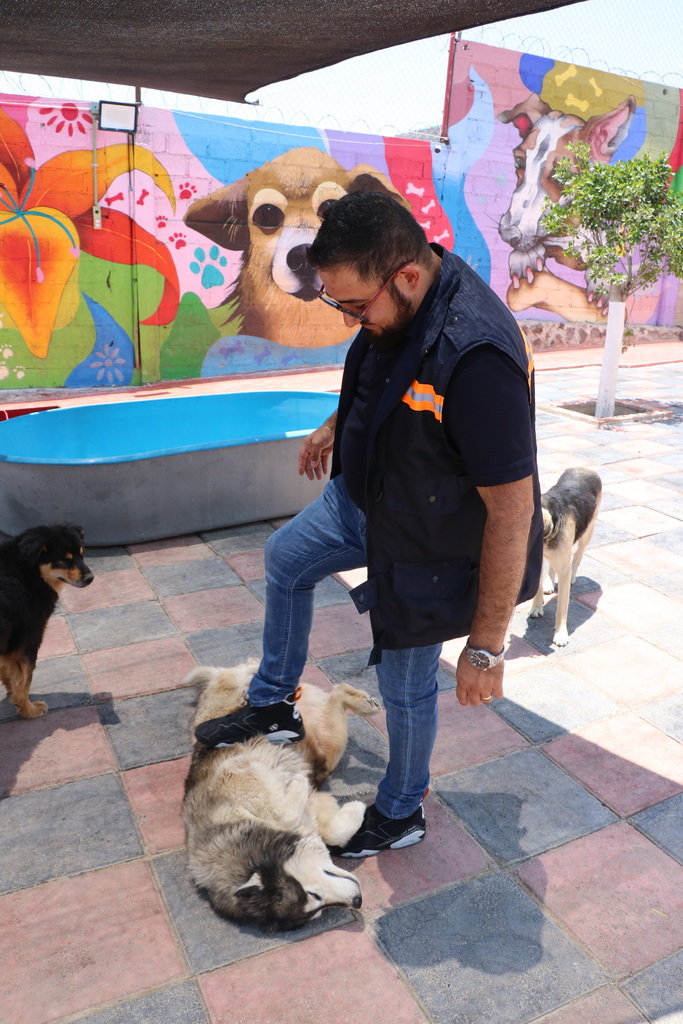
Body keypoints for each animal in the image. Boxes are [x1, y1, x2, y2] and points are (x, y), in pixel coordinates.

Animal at [0, 524, 94, 718]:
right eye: (64, 561)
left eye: (82, 554)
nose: (90, 578)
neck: (27, 573)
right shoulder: (28, 642)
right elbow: (24, 682)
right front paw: (29, 710)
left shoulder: (10, 645)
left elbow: (7, 671)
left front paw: (11, 691)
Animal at [183, 660, 382, 932]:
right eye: (317, 908)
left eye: (312, 895)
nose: (358, 901)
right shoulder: (312, 808)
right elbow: (333, 831)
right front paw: (354, 810)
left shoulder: (233, 772)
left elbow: (285, 809)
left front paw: (298, 782)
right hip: (328, 746)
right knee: (337, 694)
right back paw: (361, 702)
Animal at [528, 468, 602, 646]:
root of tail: (587, 469)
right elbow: (538, 586)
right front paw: (537, 607)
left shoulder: (563, 567)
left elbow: (562, 607)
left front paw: (561, 633)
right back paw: (549, 583)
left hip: (586, 534)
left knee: (577, 558)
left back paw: (572, 577)